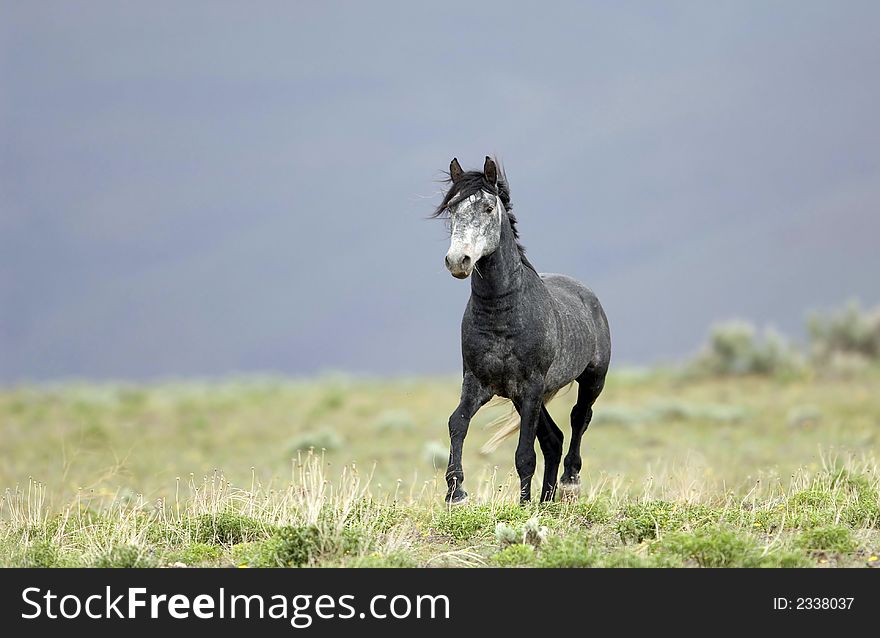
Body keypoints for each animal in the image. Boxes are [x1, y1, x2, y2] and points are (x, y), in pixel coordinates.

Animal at [434, 156, 612, 504]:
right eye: (452, 208)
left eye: (488, 207)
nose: (458, 261)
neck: (501, 316)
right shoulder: (478, 382)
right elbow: (457, 422)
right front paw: (456, 493)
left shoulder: (531, 385)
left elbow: (524, 454)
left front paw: (523, 504)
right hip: (527, 396)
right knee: (553, 439)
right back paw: (547, 500)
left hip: (591, 379)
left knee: (578, 418)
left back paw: (568, 484)